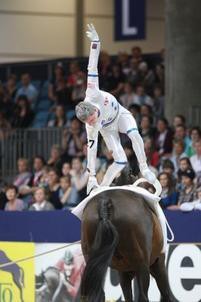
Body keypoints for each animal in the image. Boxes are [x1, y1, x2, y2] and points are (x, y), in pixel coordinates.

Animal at [79, 169, 172, 300]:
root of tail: (105, 201)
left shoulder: (123, 272)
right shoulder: (158, 263)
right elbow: (165, 293)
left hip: (93, 265)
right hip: (143, 266)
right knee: (143, 296)